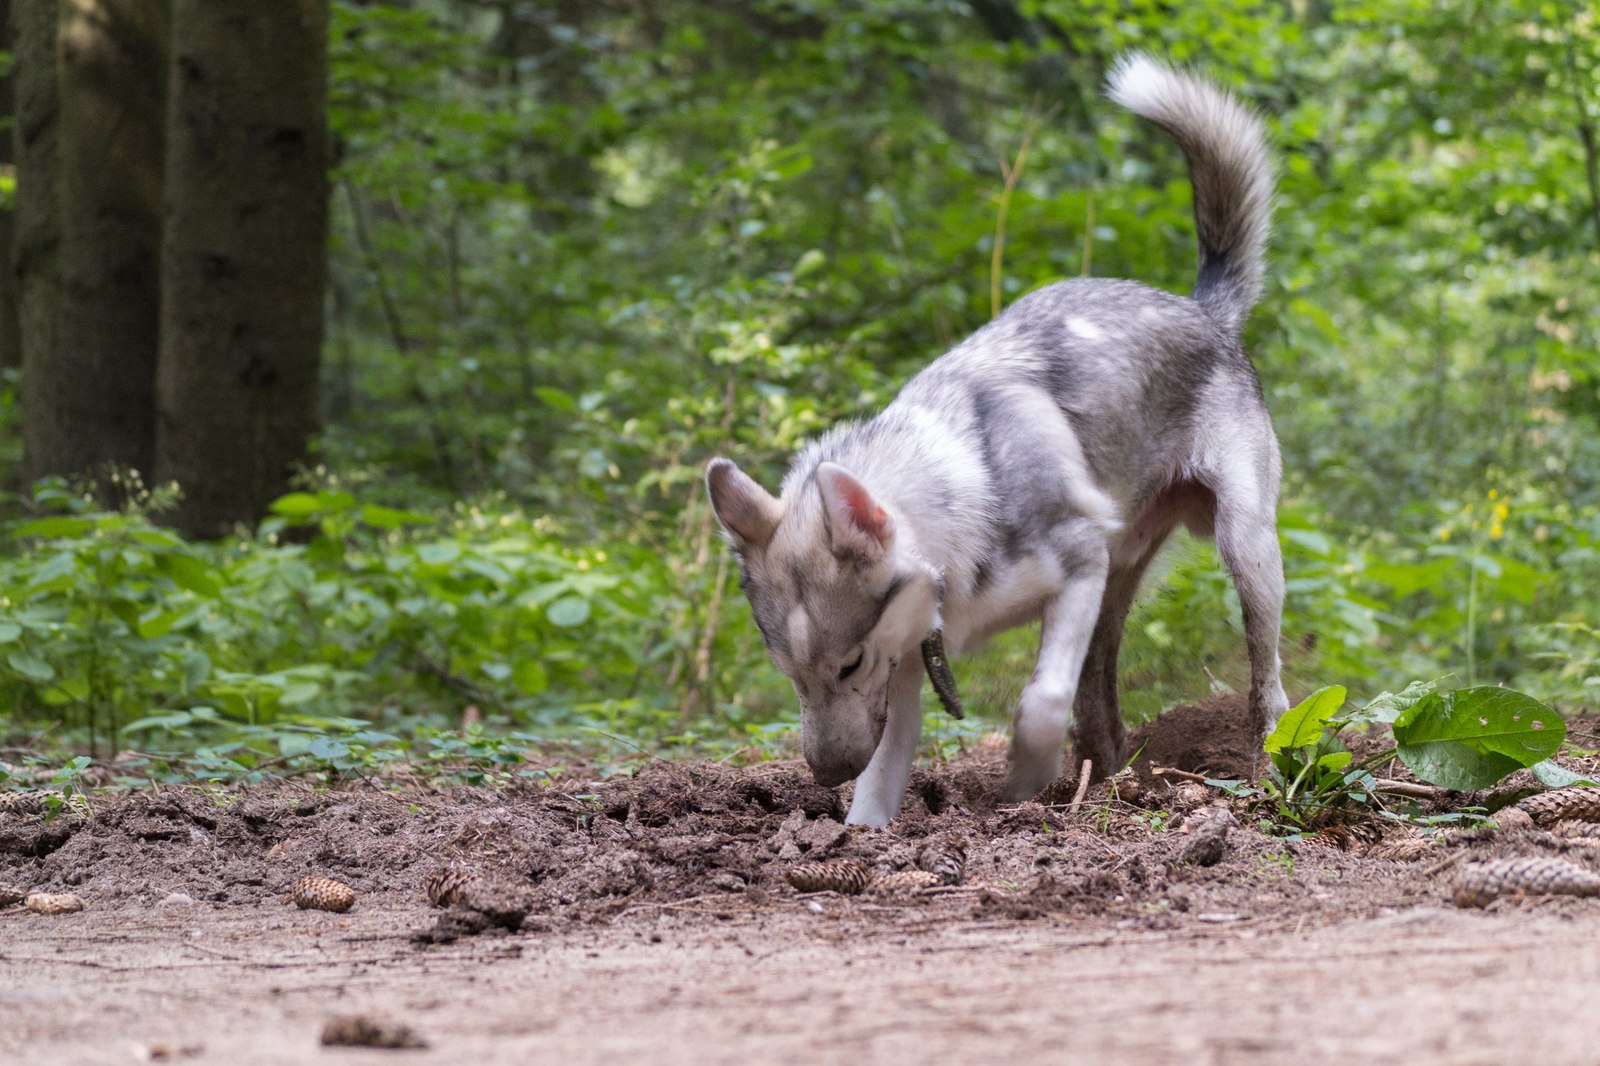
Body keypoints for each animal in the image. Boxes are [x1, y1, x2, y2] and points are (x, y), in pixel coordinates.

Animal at [707, 54, 1292, 825]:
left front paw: (1021, 786)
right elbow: (884, 778)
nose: (824, 774)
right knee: (1101, 704)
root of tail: (1202, 308)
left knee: (1266, 682)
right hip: (1117, 586)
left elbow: (1039, 700)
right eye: (791, 674)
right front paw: (857, 833)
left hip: (1244, 552)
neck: (961, 499)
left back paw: (1263, 765)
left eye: (848, 663)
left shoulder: (1071, 571)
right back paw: (1107, 780)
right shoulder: (911, 656)